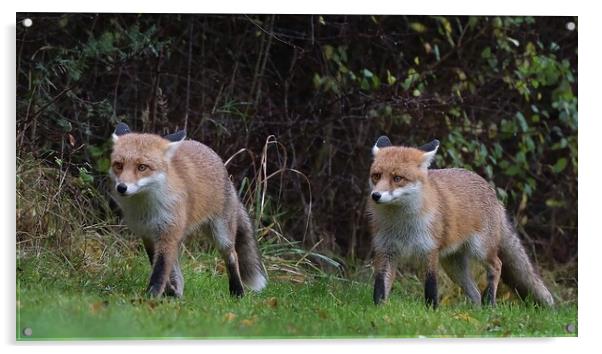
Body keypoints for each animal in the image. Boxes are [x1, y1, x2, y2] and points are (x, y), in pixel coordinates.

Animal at [108, 123, 268, 298]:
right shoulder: (148, 235)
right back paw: (176, 293)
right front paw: (168, 291)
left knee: (232, 256)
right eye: (118, 165)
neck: (146, 208)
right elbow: (161, 268)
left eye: (142, 167)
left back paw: (237, 292)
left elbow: (160, 270)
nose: (121, 187)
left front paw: (152, 296)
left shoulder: (168, 234)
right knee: (179, 272)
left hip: (221, 235)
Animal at [366, 136, 552, 306]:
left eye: (397, 178)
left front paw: (431, 310)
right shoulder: (386, 250)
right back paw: (477, 312)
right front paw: (379, 309)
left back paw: (490, 303)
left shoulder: (429, 250)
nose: (376, 195)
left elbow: (431, 286)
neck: (402, 224)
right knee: (475, 293)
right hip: (453, 267)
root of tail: (493, 193)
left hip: (480, 250)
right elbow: (380, 287)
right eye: (376, 176)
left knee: (497, 266)